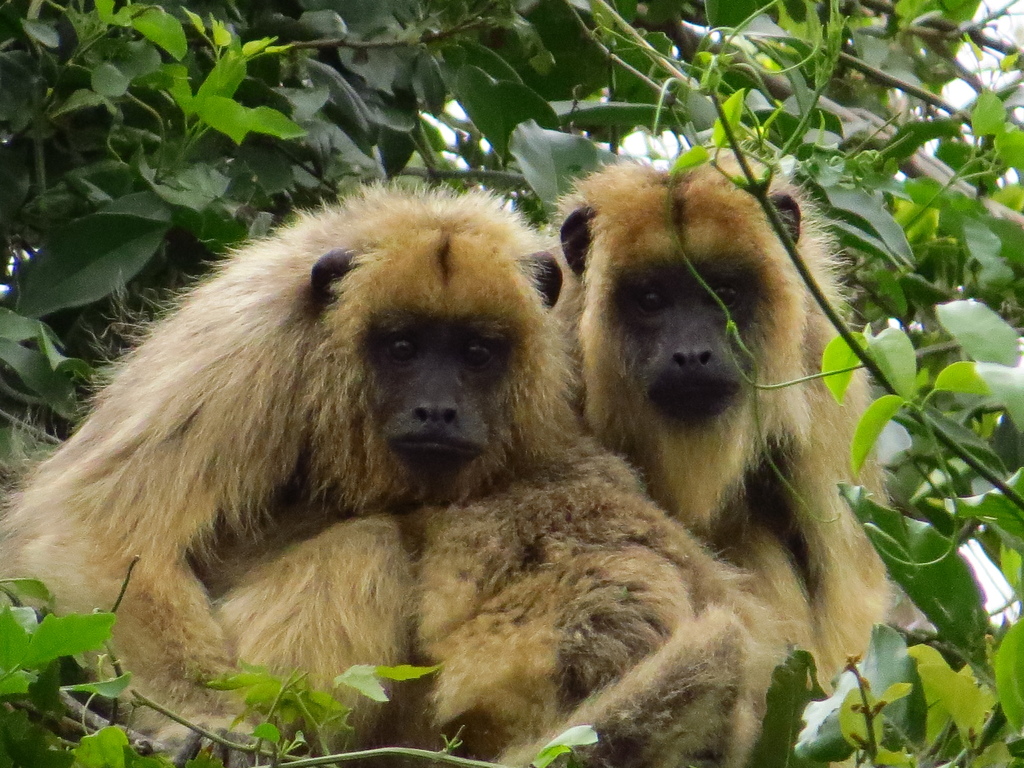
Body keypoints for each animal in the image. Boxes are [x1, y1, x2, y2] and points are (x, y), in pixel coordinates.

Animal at [1, 184, 773, 766]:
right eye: (402, 347)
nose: (437, 409)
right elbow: (95, 534)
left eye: (476, 352)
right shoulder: (245, 345)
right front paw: (197, 720)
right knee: (366, 545)